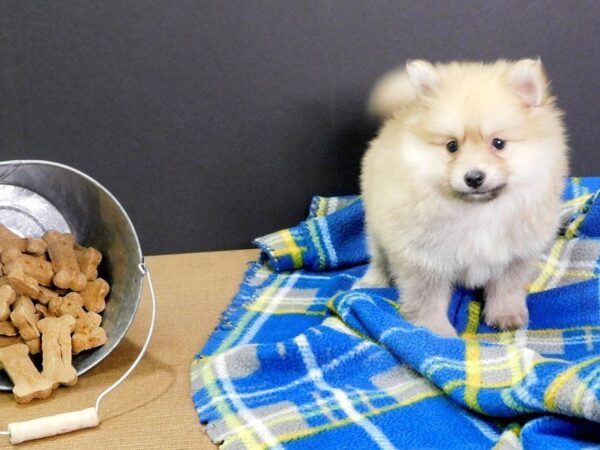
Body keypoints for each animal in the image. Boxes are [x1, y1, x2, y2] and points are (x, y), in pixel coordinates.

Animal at [356, 58, 568, 336]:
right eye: (452, 146)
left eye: (498, 143)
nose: (474, 177)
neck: (480, 211)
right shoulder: (423, 257)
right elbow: (428, 298)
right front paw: (436, 330)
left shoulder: (516, 254)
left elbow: (507, 287)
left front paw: (506, 314)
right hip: (377, 226)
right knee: (378, 257)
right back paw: (373, 280)